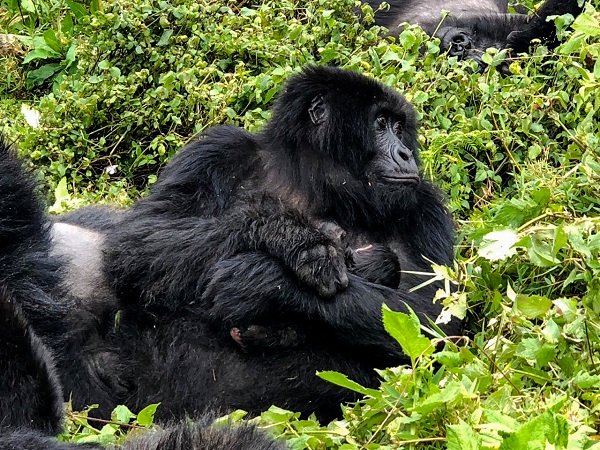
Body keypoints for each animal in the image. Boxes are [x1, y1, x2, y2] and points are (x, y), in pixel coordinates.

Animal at [0, 66, 462, 426]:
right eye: (381, 124)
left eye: (400, 127)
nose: (405, 155)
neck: (312, 183)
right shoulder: (219, 148)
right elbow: (138, 241)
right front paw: (285, 235)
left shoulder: (423, 204)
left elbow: (432, 323)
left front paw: (262, 282)